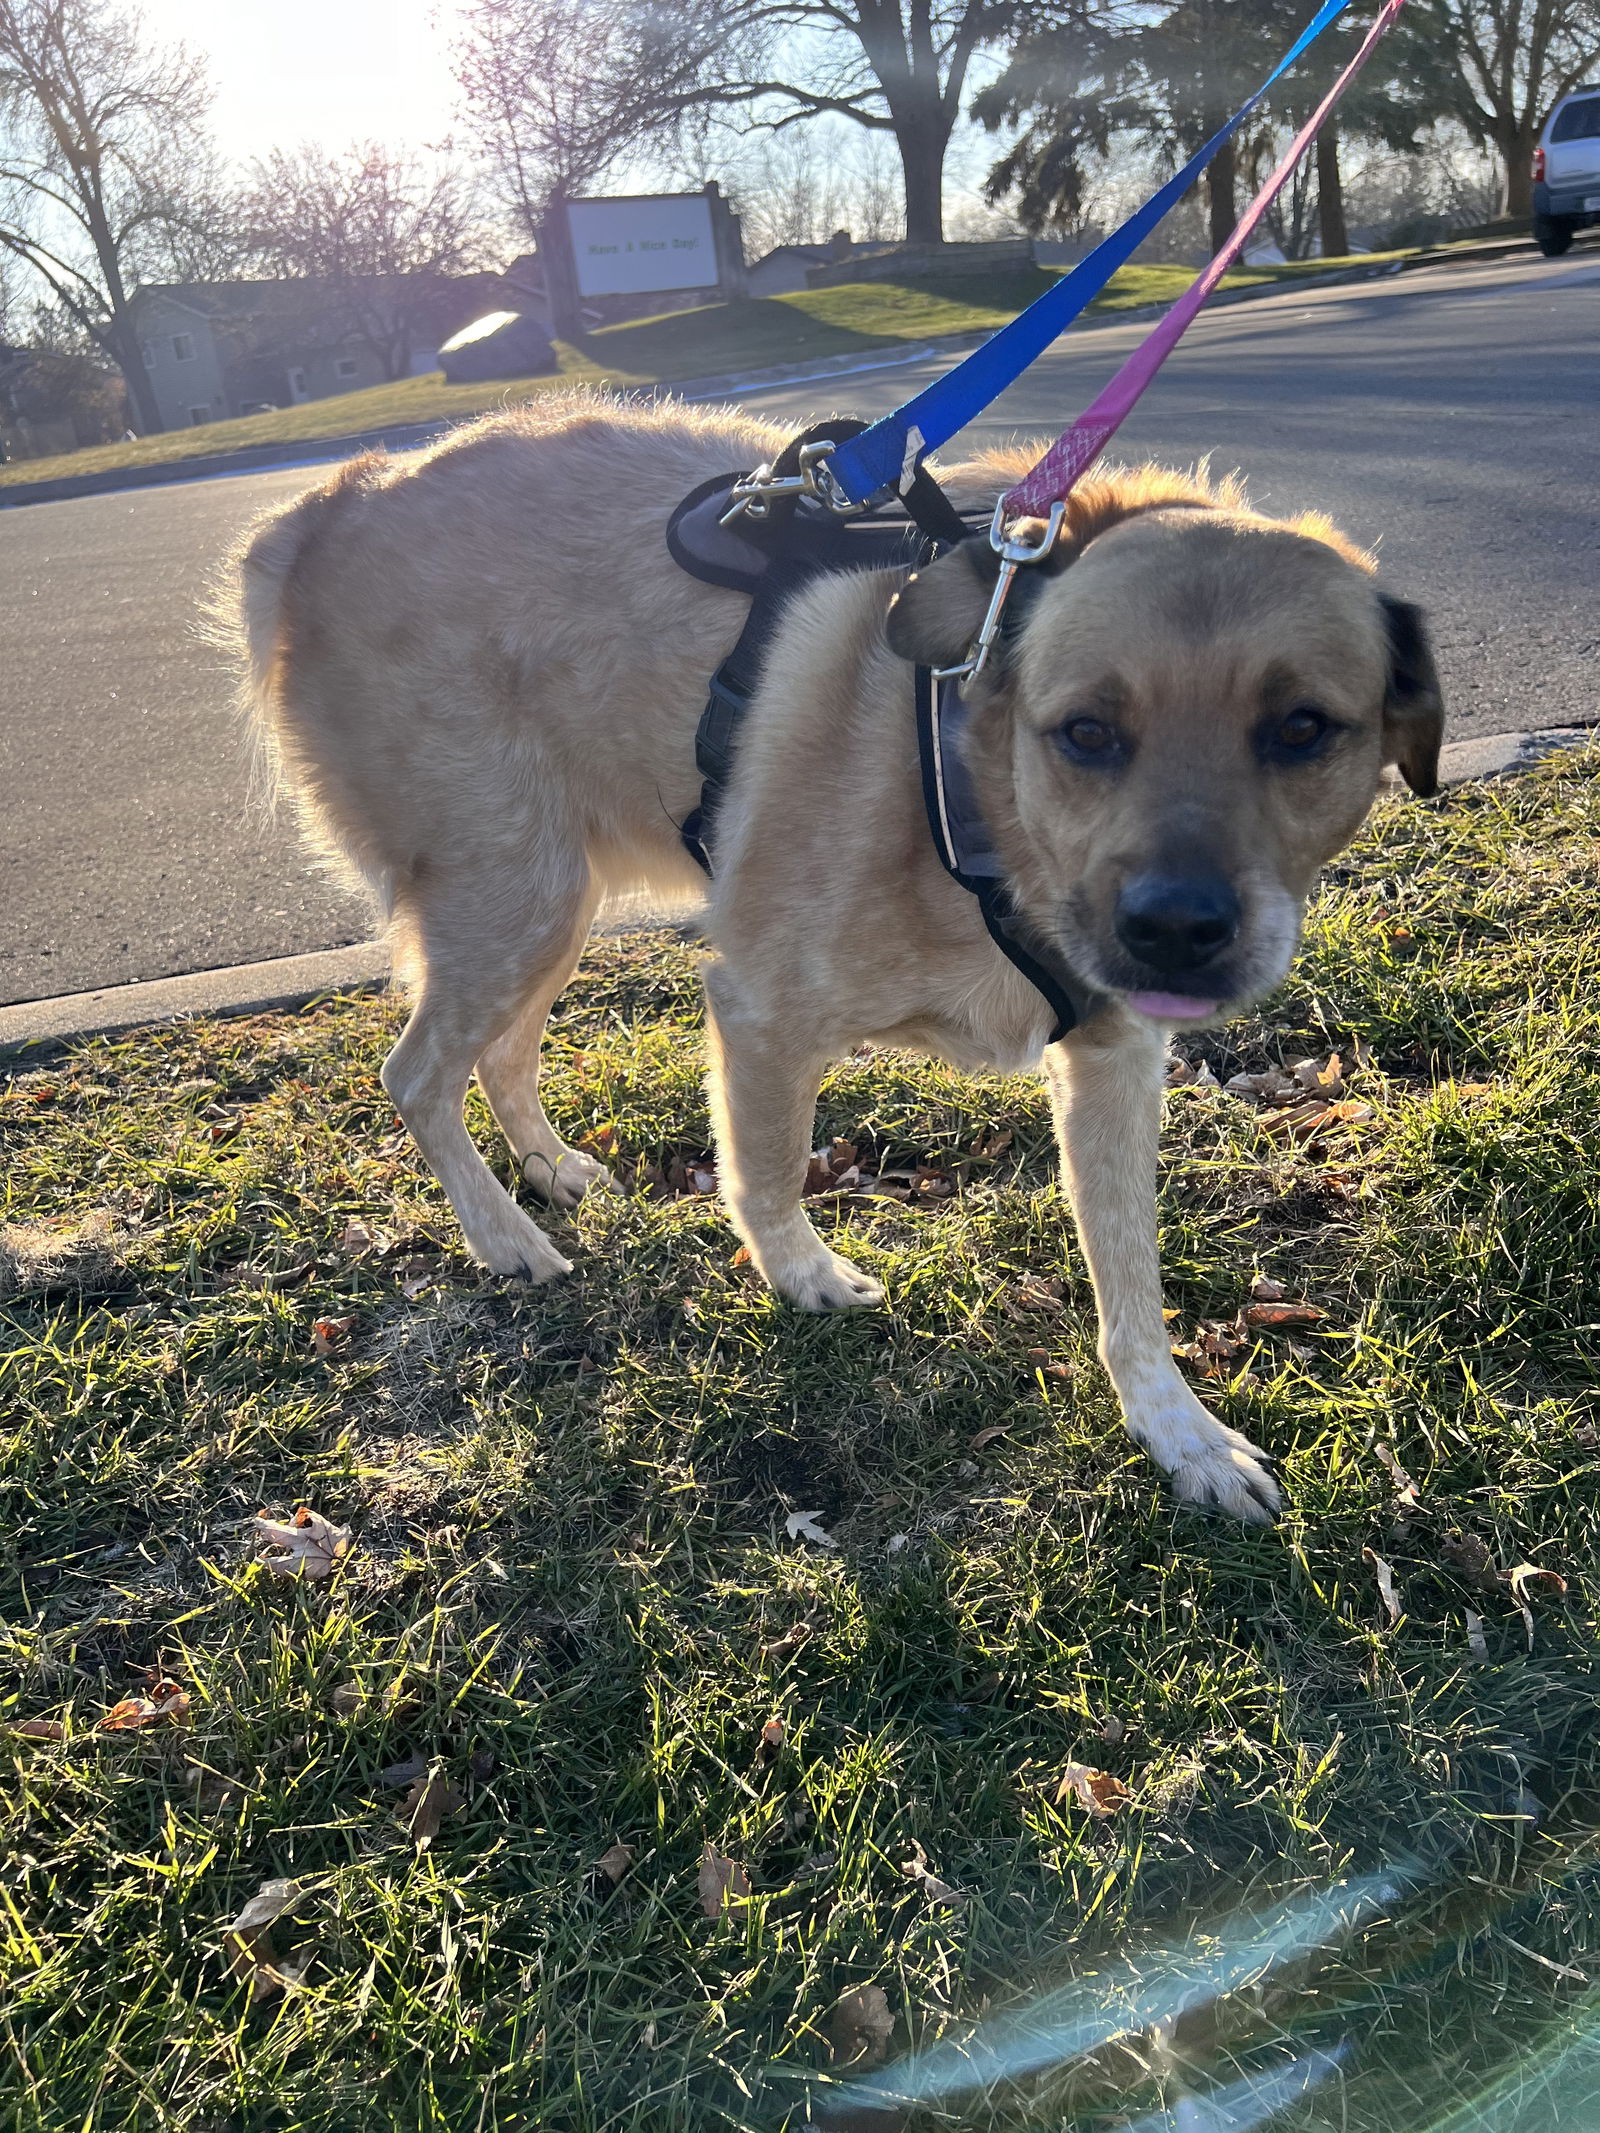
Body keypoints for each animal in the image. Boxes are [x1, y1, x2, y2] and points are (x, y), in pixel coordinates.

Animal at [231, 396, 1450, 1518]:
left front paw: (1175, 1431)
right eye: (1086, 732)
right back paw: (503, 1237)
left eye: (1302, 729)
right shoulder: (760, 1013)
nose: (1175, 934)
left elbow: (1128, 1278)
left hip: (546, 906)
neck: (979, 792)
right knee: (415, 1074)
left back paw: (549, 1170)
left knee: (496, 1055)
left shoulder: (1113, 1060)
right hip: (513, 897)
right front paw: (802, 1278)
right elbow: (766, 1172)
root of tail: (329, 502)